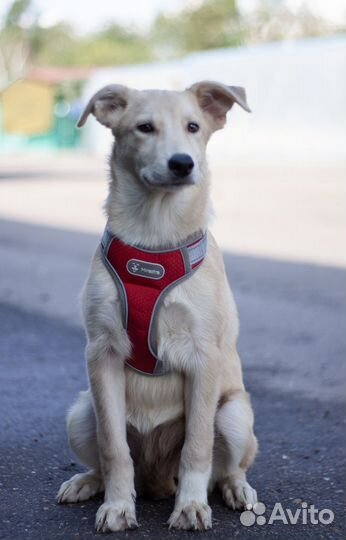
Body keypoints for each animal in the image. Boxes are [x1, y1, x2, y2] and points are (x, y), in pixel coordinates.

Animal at [56, 80, 256, 532]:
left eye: (193, 126)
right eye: (144, 128)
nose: (182, 163)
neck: (156, 235)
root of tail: (157, 481)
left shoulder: (204, 358)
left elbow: (197, 446)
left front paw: (191, 507)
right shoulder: (102, 353)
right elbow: (114, 448)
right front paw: (116, 507)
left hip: (234, 415)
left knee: (226, 467)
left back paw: (235, 489)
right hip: (81, 412)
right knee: (109, 459)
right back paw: (87, 482)